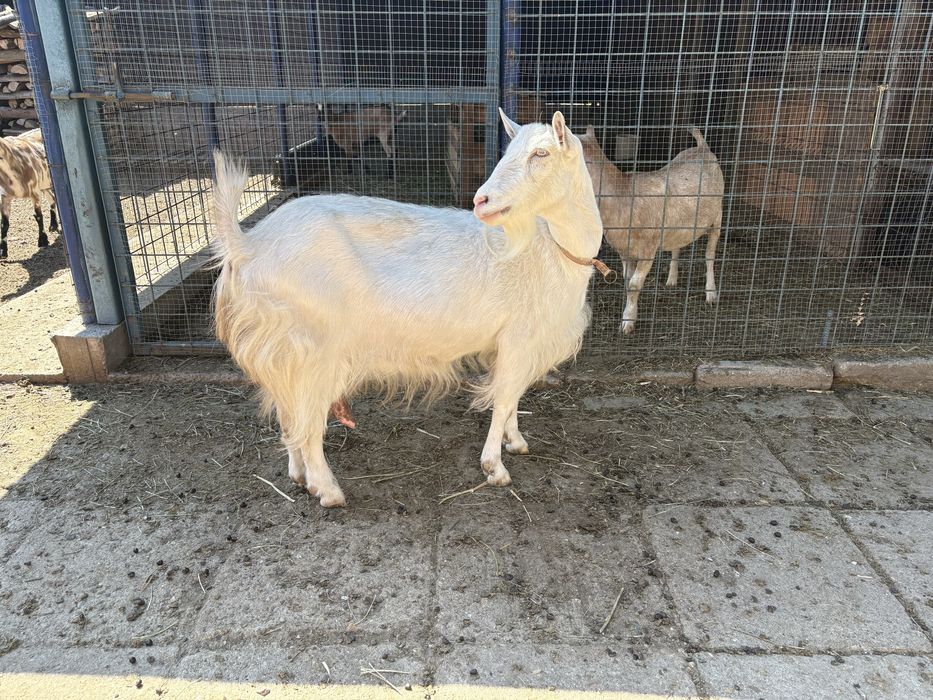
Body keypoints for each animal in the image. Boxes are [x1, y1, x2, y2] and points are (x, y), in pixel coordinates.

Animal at [0, 129, 57, 259]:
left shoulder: (34, 191)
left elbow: (38, 216)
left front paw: (43, 240)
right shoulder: (5, 197)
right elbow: (4, 224)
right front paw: (3, 251)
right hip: (44, 185)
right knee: (52, 199)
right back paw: (53, 225)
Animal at [212, 109, 603, 507]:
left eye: (541, 153)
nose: (482, 200)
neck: (551, 248)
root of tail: (248, 244)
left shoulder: (516, 344)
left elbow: (512, 398)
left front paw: (516, 441)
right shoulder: (519, 337)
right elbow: (504, 397)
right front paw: (494, 467)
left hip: (284, 348)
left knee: (289, 410)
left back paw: (299, 475)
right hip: (313, 344)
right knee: (307, 419)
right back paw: (327, 489)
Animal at [580, 126, 723, 334]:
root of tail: (702, 146)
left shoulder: (648, 248)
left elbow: (634, 284)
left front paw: (627, 322)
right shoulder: (625, 250)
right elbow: (627, 281)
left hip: (717, 215)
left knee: (710, 255)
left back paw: (711, 293)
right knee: (676, 247)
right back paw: (672, 280)